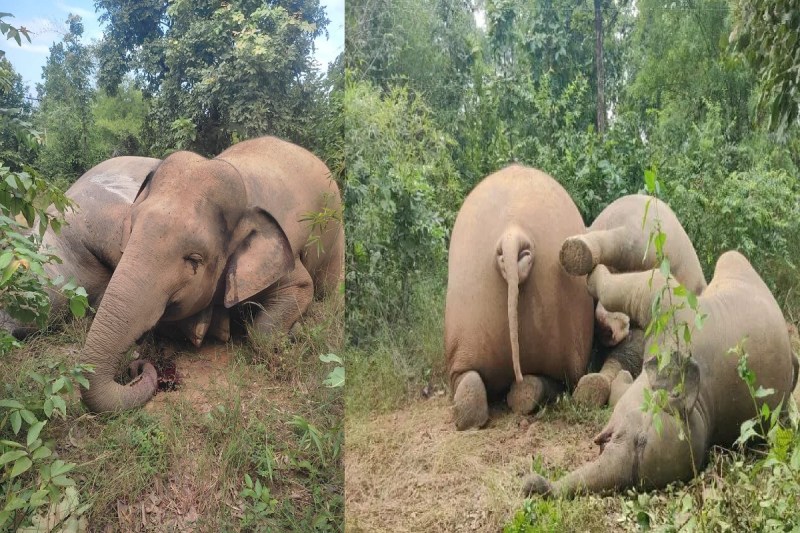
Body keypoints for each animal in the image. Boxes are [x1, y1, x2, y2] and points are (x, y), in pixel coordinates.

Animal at [8, 137, 343, 412]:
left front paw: (293, 333)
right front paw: (209, 327)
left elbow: (300, 287)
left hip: (334, 225)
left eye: (194, 259)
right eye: (130, 231)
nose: (136, 368)